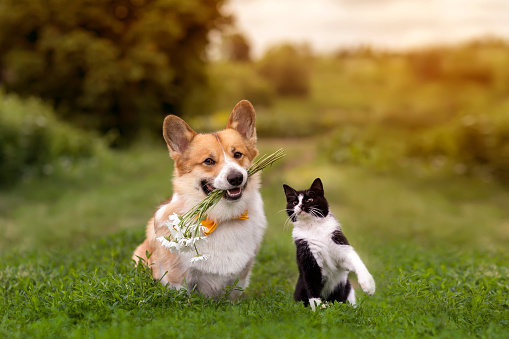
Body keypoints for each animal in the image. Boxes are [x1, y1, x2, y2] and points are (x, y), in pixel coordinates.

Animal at [131, 99, 268, 298]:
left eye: (237, 154)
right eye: (208, 161)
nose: (236, 178)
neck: (222, 218)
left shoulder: (241, 277)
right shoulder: (177, 278)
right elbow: (184, 297)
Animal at [284, 179, 376, 312]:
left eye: (309, 200)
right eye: (294, 202)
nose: (300, 206)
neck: (314, 227)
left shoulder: (338, 241)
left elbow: (355, 260)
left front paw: (369, 285)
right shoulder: (307, 253)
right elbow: (311, 281)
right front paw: (318, 307)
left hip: (347, 289)